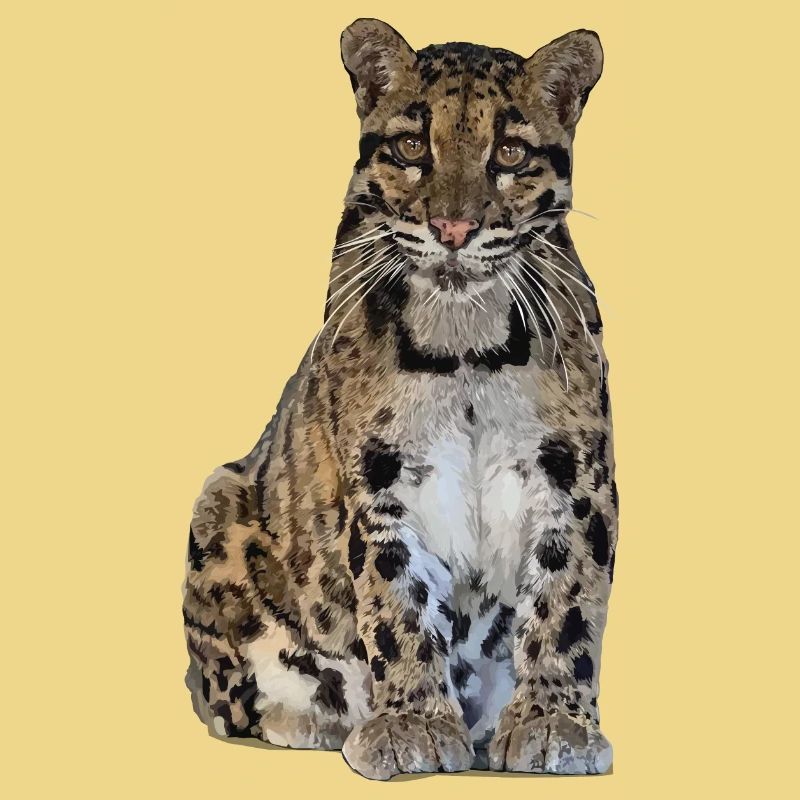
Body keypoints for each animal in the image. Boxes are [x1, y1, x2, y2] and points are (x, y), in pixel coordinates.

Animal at [182, 18, 617, 780]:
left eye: (509, 152)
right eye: (414, 146)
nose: (453, 230)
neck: (466, 344)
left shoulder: (575, 476)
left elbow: (566, 601)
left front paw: (552, 721)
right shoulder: (378, 478)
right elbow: (397, 602)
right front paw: (412, 722)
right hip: (218, 501)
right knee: (232, 698)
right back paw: (320, 718)